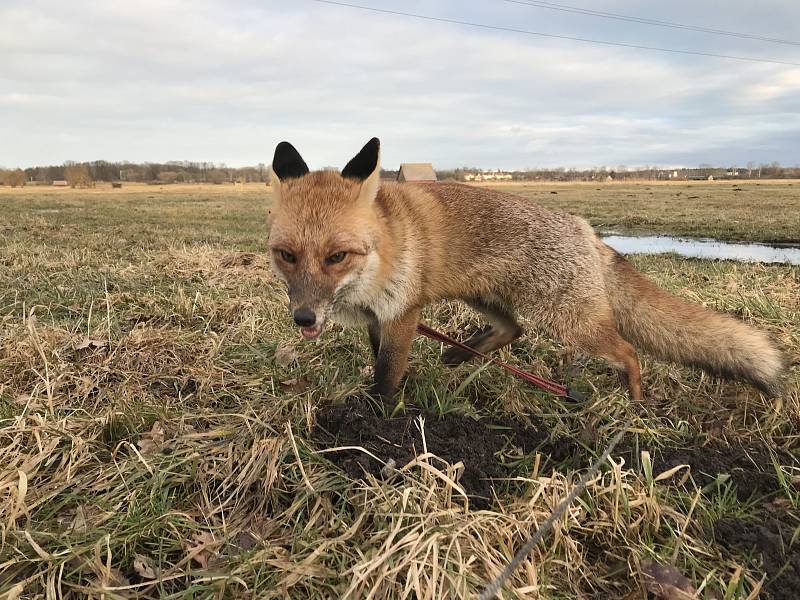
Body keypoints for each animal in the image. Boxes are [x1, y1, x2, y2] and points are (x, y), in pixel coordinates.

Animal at [268, 138, 788, 400]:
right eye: (286, 256)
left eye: (337, 256)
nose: (303, 318)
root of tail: (586, 229)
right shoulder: (380, 319)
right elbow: (381, 363)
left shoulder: (401, 314)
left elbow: (386, 375)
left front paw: (375, 419)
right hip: (485, 298)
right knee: (513, 329)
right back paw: (462, 354)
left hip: (569, 322)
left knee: (627, 350)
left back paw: (633, 399)